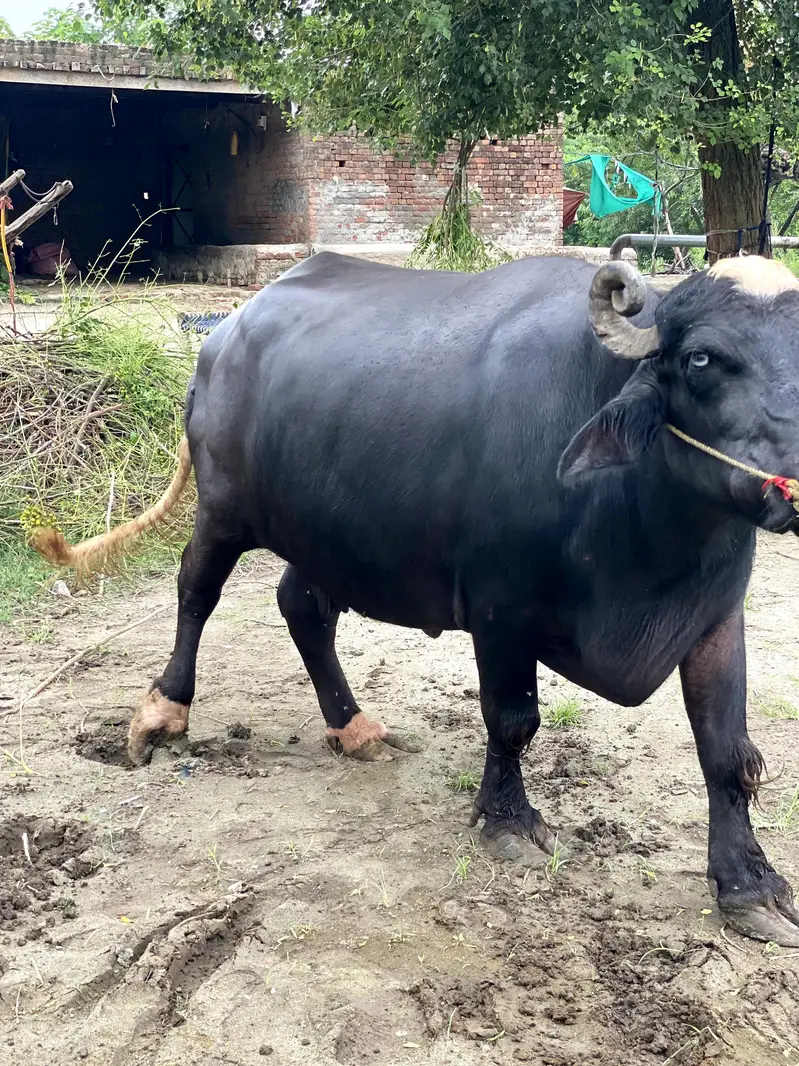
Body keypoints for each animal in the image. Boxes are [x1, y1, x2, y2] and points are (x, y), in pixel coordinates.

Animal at [32, 251, 799, 946]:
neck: (647, 530)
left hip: (324, 537)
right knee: (196, 588)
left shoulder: (713, 618)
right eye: (701, 358)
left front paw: (749, 885)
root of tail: (224, 337)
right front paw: (509, 823)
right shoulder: (499, 609)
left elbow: (727, 750)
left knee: (302, 608)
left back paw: (353, 727)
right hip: (222, 508)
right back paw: (162, 712)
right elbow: (512, 720)